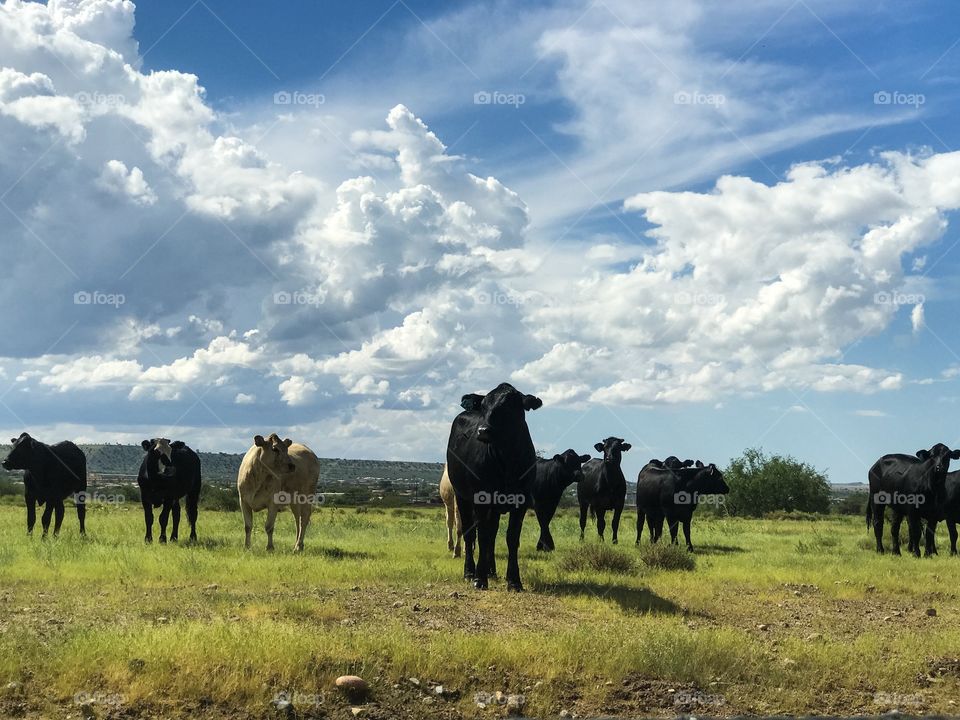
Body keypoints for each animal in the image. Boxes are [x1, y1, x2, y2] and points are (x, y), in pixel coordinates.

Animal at [448, 382, 544, 592]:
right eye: (484, 406)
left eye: (509, 406)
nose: (483, 431)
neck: (506, 459)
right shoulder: (481, 499)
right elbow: (482, 536)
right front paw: (479, 578)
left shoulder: (521, 501)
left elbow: (511, 538)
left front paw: (514, 580)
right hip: (462, 497)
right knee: (470, 533)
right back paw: (470, 572)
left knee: (492, 534)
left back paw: (491, 570)